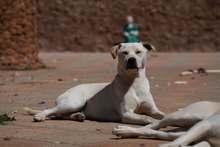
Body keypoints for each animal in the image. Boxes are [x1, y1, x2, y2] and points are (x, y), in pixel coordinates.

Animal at [24, 42, 164, 124]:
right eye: (124, 53)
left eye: (138, 52)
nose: (131, 60)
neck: (135, 82)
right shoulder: (126, 114)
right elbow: (146, 117)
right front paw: (154, 122)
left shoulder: (152, 109)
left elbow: (162, 114)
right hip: (74, 102)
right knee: (51, 111)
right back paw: (40, 116)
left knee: (63, 115)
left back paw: (78, 116)